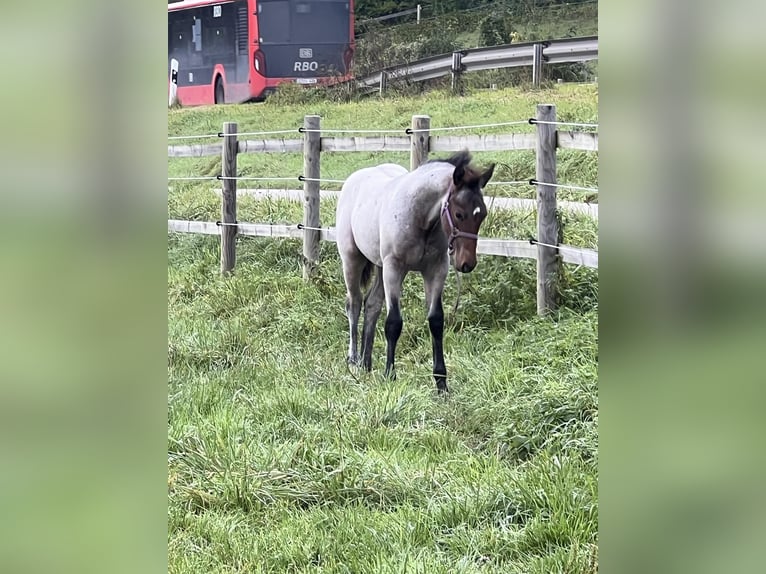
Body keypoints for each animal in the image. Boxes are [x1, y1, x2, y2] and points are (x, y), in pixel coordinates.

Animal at [338, 151, 498, 394]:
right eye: (459, 214)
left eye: (482, 215)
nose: (467, 264)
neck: (420, 219)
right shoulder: (394, 268)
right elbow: (393, 322)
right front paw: (390, 375)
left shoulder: (436, 270)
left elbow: (436, 321)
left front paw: (441, 382)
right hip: (352, 260)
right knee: (354, 304)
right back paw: (354, 362)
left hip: (379, 266)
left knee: (372, 305)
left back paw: (366, 364)